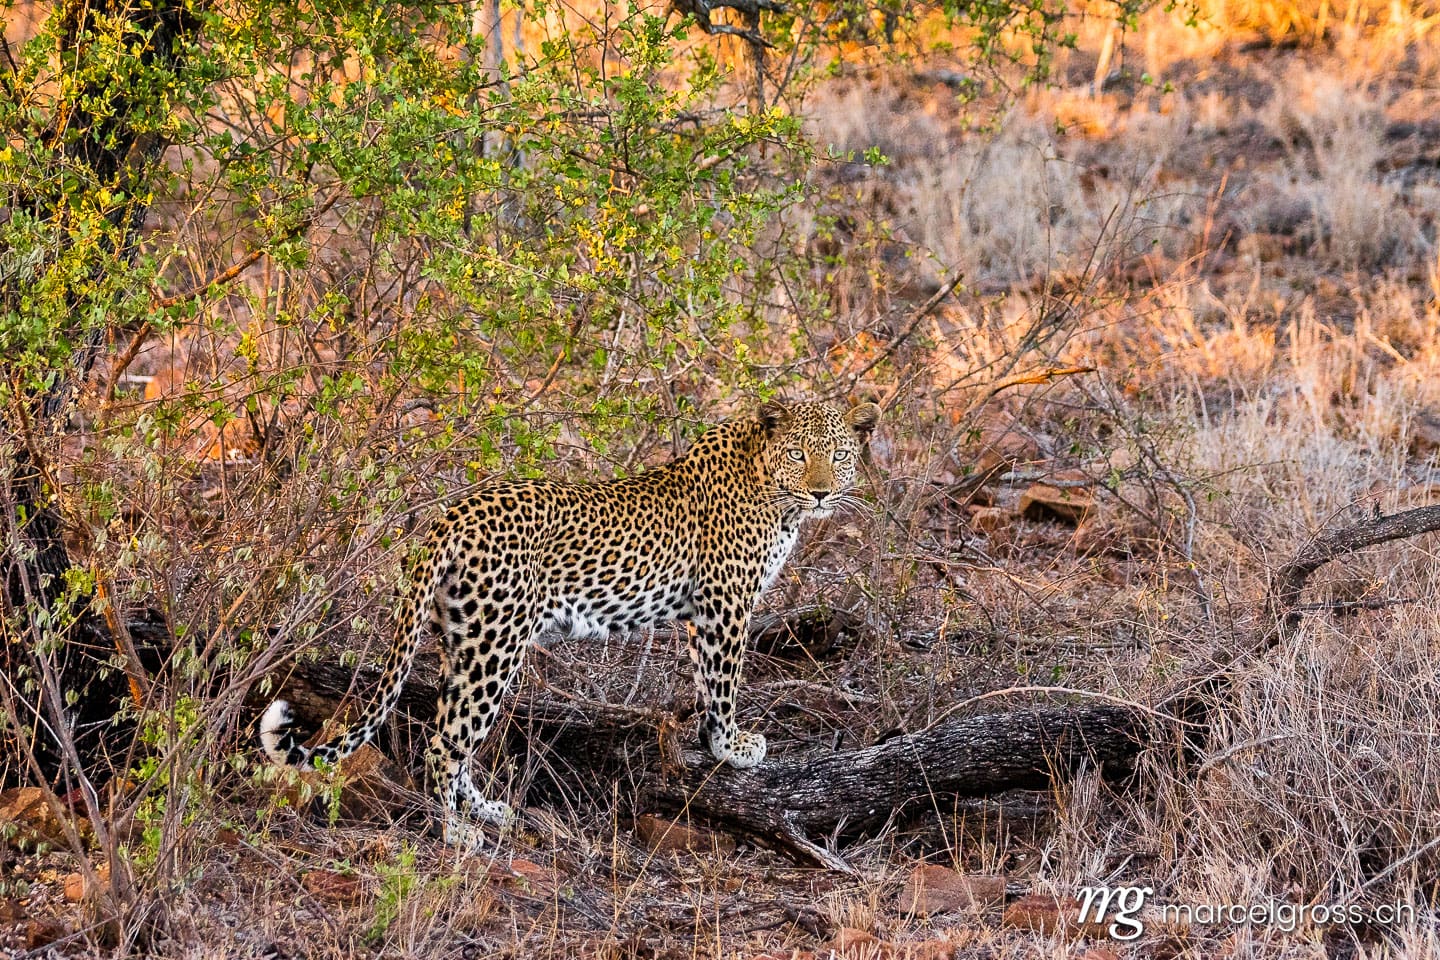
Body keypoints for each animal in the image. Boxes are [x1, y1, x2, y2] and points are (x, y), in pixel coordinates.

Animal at [259, 398, 880, 847]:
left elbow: (707, 681)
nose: (822, 491)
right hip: (496, 643)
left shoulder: (705, 612)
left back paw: (486, 809)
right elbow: (725, 680)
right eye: (798, 454)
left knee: (451, 730)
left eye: (837, 456)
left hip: (462, 640)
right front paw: (732, 745)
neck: (775, 492)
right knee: (443, 743)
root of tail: (453, 513)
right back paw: (457, 830)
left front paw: (710, 741)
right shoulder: (726, 602)